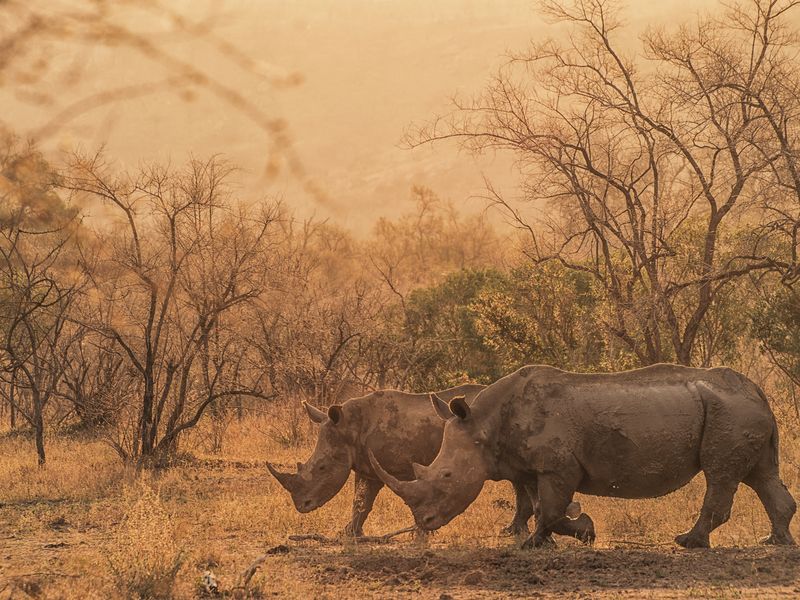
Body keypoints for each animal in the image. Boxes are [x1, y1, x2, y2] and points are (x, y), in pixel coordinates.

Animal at [268, 384, 588, 540]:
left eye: (322, 468)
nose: (302, 506)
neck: (349, 426)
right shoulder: (367, 467)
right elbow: (361, 502)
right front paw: (349, 534)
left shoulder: (400, 465)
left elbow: (409, 494)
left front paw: (420, 531)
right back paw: (513, 531)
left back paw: (514, 532)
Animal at [372, 364, 796, 552]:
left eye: (445, 477)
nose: (424, 523)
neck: (484, 425)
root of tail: (759, 392)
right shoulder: (531, 466)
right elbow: (538, 506)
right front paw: (551, 541)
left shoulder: (558, 466)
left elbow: (551, 509)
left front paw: (569, 535)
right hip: (737, 410)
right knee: (760, 475)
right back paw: (775, 541)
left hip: (730, 411)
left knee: (720, 475)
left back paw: (689, 542)